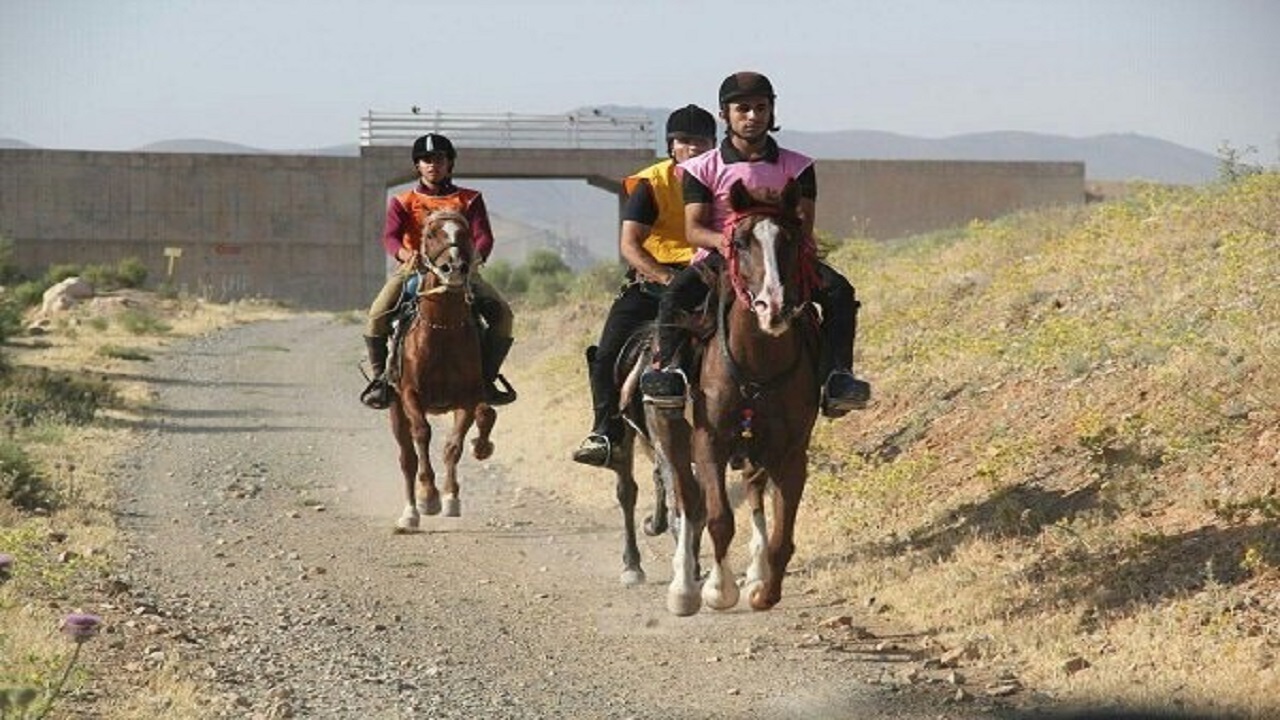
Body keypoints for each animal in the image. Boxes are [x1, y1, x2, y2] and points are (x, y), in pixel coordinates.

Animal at [389, 207, 494, 527]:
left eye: (465, 233)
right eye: (432, 234)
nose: (454, 268)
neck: (442, 329)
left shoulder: (467, 398)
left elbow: (453, 446)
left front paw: (450, 496)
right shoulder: (410, 395)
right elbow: (422, 434)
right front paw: (428, 496)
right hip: (395, 408)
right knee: (407, 458)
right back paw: (410, 512)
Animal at [650, 178, 819, 609]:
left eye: (791, 240)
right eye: (741, 242)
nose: (773, 306)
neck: (758, 367)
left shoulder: (791, 452)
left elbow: (782, 534)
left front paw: (764, 592)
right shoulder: (708, 441)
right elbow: (719, 518)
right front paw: (718, 589)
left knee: (754, 494)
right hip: (672, 434)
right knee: (688, 501)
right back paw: (684, 587)